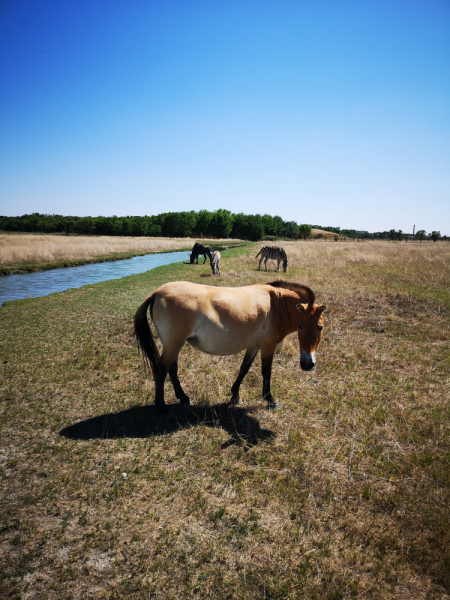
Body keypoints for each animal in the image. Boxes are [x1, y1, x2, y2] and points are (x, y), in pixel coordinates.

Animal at [134, 278, 326, 410]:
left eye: (320, 327)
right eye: (300, 326)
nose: (308, 364)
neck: (277, 305)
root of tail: (158, 292)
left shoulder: (254, 346)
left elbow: (244, 368)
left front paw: (235, 396)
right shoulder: (268, 346)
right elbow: (267, 372)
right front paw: (270, 400)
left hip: (174, 345)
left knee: (172, 369)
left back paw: (183, 397)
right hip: (173, 344)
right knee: (161, 370)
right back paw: (161, 407)